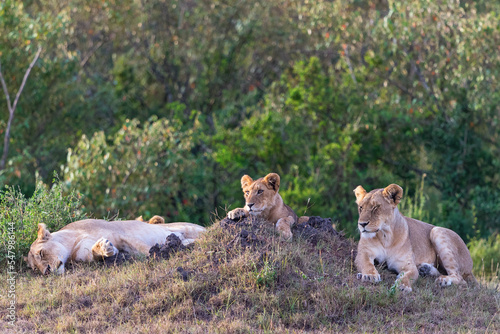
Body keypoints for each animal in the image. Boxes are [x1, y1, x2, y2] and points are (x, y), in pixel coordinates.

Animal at [24, 217, 205, 274]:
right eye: (35, 269)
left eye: (41, 253)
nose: (46, 272)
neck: (71, 243)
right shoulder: (83, 255)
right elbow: (94, 253)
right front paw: (105, 248)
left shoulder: (121, 233)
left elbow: (143, 248)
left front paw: (158, 254)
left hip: (190, 228)